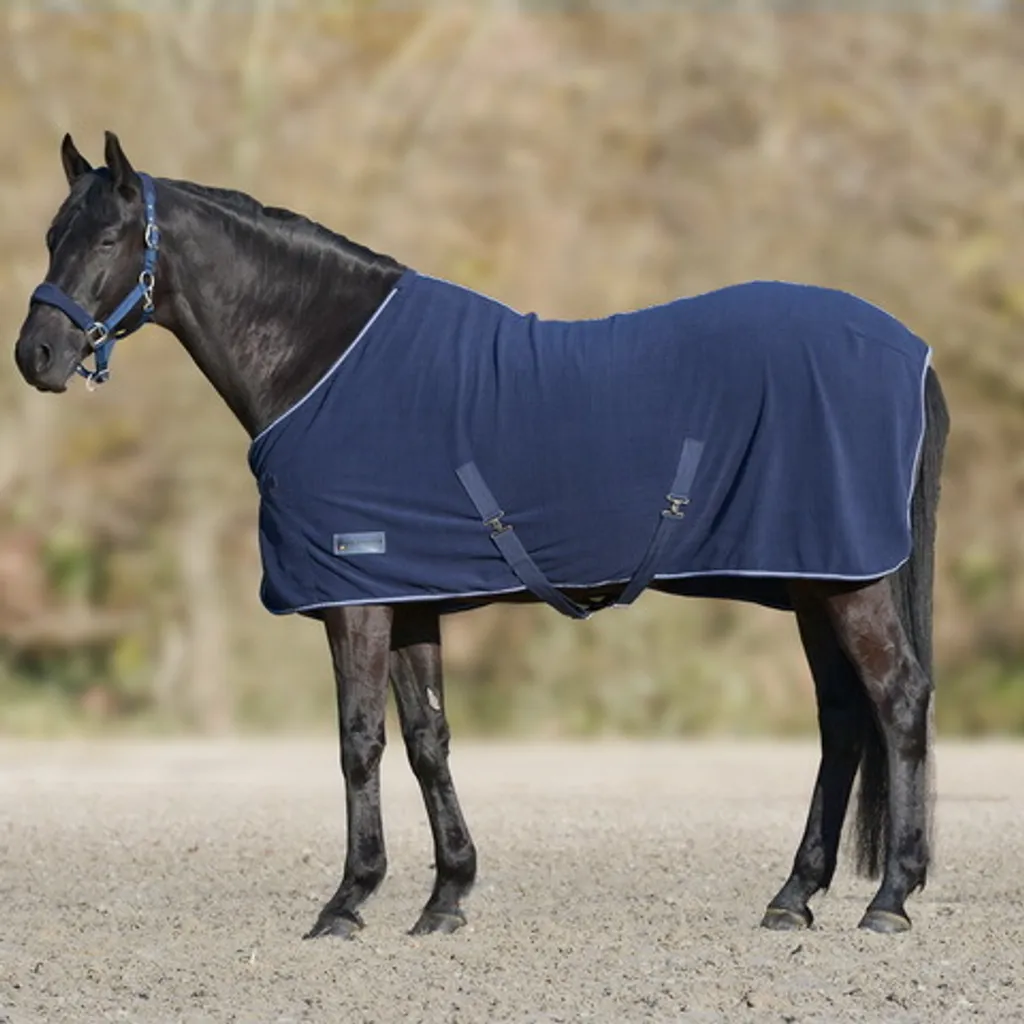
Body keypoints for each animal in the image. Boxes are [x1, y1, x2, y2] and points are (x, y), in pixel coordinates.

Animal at [14, 132, 949, 939]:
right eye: (52, 235)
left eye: (108, 238)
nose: (37, 355)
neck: (325, 361)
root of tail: (910, 349)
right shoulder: (409, 598)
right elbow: (428, 741)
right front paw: (445, 898)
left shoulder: (356, 601)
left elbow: (359, 743)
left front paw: (347, 901)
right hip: (814, 581)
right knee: (842, 717)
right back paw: (794, 896)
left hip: (849, 583)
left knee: (897, 699)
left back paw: (891, 898)